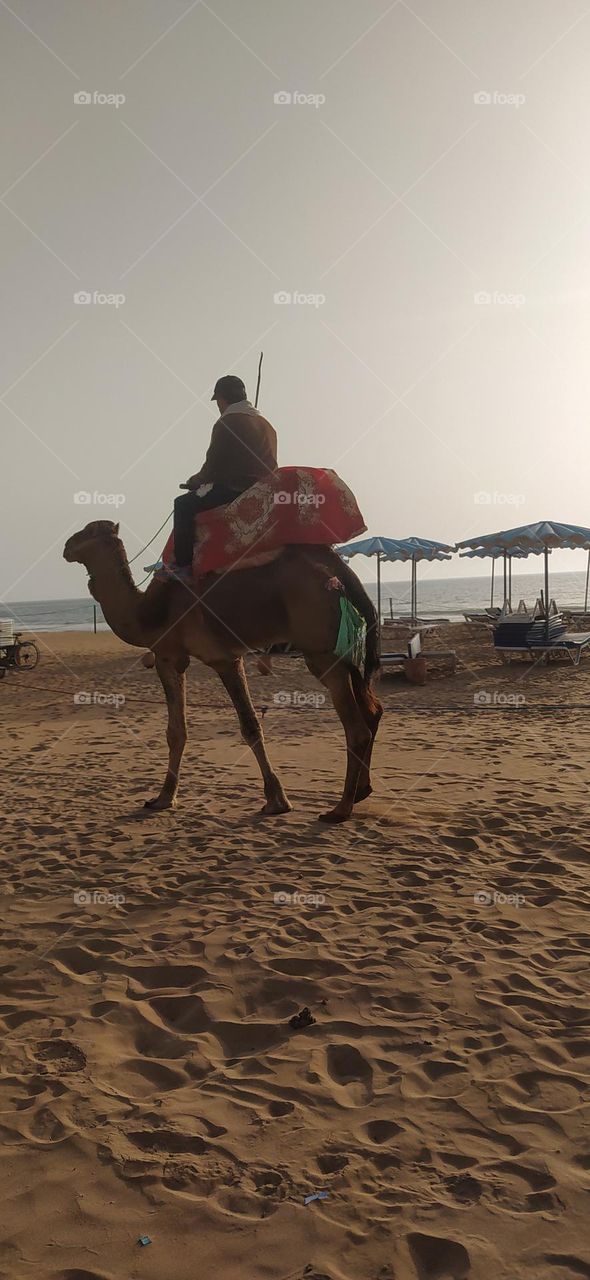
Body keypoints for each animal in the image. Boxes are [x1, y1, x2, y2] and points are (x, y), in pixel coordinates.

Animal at [63, 521, 382, 822]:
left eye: (88, 531)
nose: (67, 546)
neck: (148, 612)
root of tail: (338, 569)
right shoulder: (176, 656)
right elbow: (176, 731)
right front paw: (163, 798)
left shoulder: (213, 658)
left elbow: (248, 726)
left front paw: (277, 801)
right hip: (344, 648)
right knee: (372, 709)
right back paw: (361, 791)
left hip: (320, 647)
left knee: (356, 727)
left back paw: (339, 809)